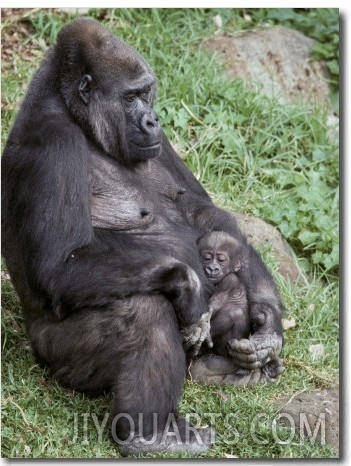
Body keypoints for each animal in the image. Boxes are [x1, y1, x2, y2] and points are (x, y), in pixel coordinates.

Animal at [1, 19, 284, 456]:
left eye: (147, 92)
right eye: (131, 97)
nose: (151, 119)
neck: (75, 116)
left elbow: (203, 211)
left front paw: (268, 323)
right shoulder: (53, 143)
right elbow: (59, 265)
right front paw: (185, 283)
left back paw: (222, 370)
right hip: (54, 357)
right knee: (144, 309)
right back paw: (146, 433)